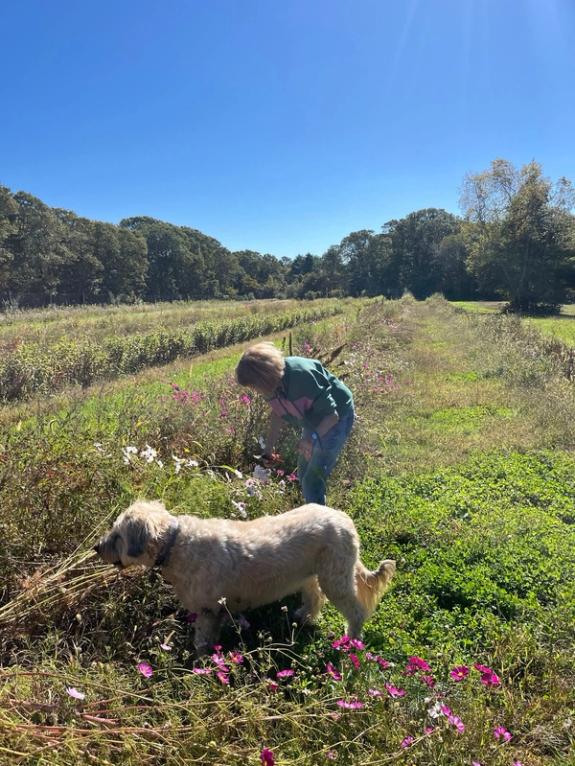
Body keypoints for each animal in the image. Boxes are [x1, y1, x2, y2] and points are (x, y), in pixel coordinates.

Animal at [95, 500, 396, 656]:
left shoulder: (208, 609)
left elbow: (202, 640)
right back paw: (304, 617)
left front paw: (199, 662)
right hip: (312, 575)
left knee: (356, 612)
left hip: (336, 579)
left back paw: (351, 641)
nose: (96, 547)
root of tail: (344, 518)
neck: (176, 544)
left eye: (118, 535)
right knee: (314, 597)